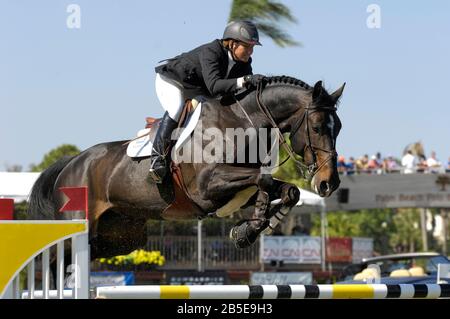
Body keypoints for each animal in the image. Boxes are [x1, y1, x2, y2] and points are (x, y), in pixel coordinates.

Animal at [28, 76, 344, 262]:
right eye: (317, 127)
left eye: (338, 127)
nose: (329, 183)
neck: (243, 121)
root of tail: (71, 162)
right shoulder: (207, 188)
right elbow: (263, 179)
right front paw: (250, 229)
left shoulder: (235, 193)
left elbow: (287, 191)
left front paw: (250, 230)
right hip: (77, 227)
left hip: (118, 236)